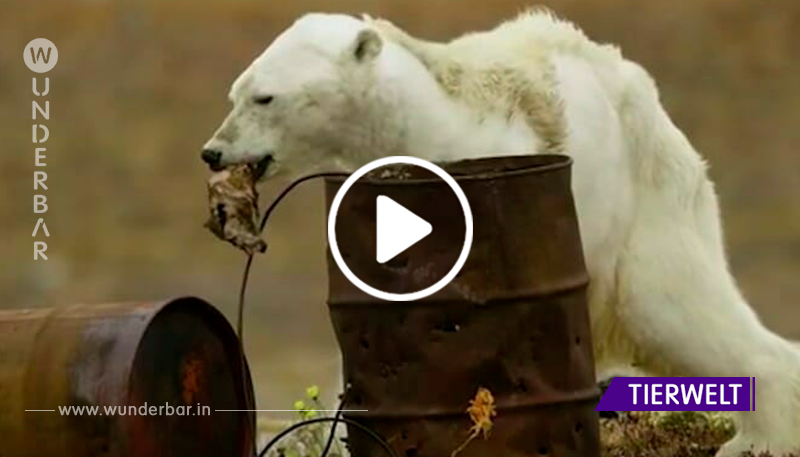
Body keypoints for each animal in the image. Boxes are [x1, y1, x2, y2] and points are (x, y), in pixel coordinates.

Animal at [202, 10, 800, 456]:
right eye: (235, 92)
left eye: (265, 98)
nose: (213, 151)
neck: (419, 122)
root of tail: (641, 88)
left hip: (645, 197)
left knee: (676, 308)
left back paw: (758, 438)